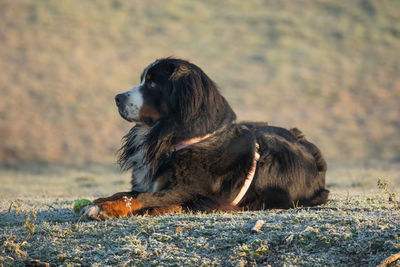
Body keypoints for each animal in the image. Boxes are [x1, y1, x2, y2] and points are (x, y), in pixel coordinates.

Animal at [83, 57, 330, 221]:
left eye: (152, 83)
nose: (117, 98)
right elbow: (127, 192)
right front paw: (99, 202)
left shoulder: (191, 190)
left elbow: (143, 198)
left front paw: (104, 209)